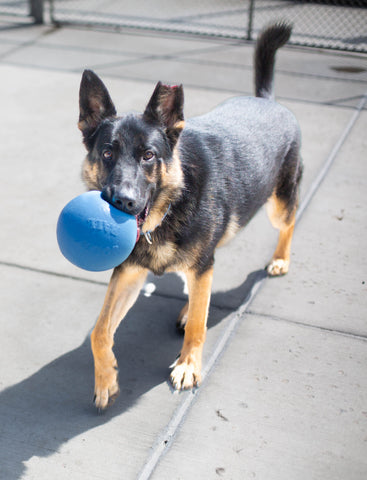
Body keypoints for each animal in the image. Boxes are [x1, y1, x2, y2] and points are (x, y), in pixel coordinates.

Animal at [77, 21, 302, 408]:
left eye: (148, 155)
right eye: (107, 153)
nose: (123, 202)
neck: (166, 213)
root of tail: (267, 100)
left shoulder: (197, 265)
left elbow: (199, 324)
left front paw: (188, 365)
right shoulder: (129, 273)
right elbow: (99, 330)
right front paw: (106, 378)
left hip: (278, 205)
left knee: (287, 225)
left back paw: (280, 260)